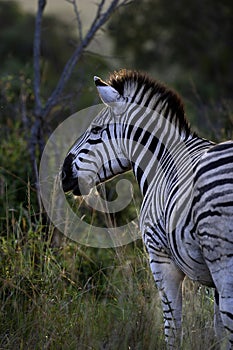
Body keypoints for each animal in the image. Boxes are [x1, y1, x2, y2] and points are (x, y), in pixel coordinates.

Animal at [62, 69, 233, 348]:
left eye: (96, 130)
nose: (63, 174)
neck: (164, 160)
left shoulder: (160, 258)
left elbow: (172, 328)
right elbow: (219, 332)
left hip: (222, 259)